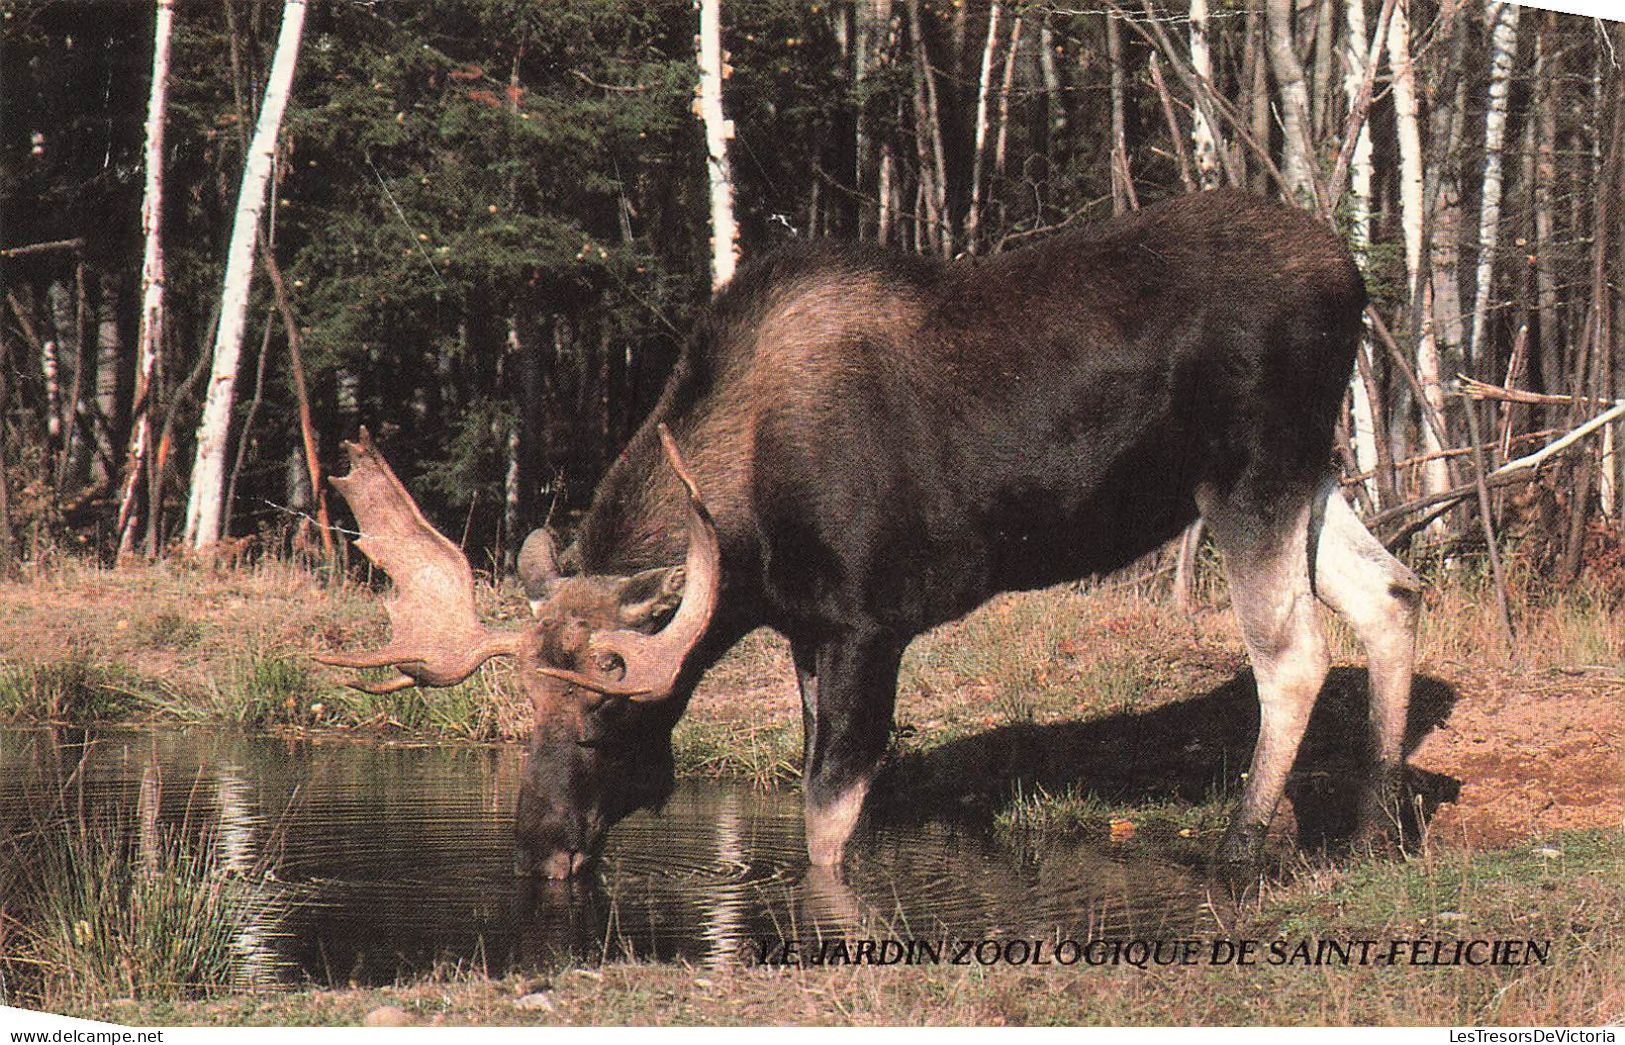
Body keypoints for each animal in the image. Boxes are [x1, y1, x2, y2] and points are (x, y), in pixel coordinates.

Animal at [316, 187, 1423, 884]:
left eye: (603, 712)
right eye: (523, 709)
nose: (538, 849)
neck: (744, 536)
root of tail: (1354, 279)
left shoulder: (866, 622)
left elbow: (827, 814)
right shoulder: (807, 631)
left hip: (1246, 472)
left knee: (1291, 651)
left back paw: (1238, 850)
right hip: (1311, 465)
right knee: (1391, 594)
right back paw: (1371, 830)